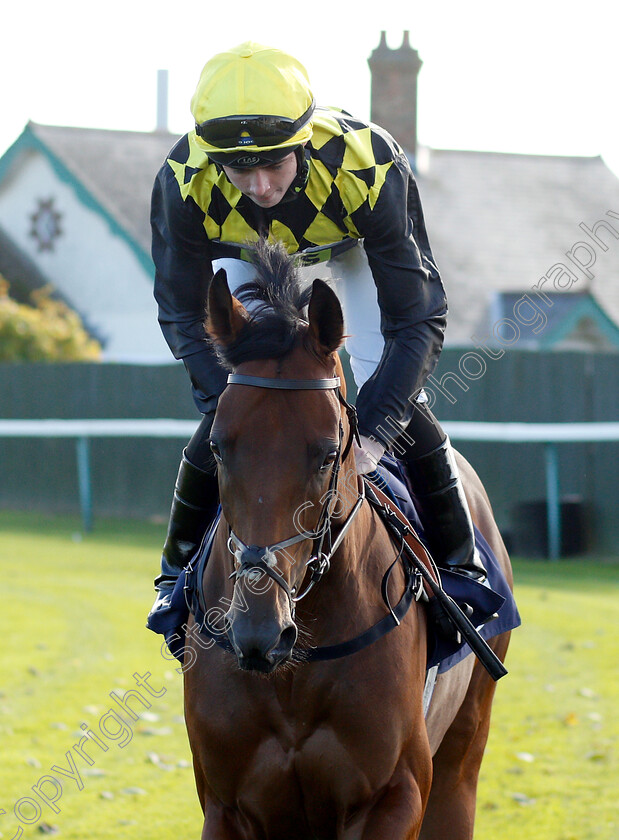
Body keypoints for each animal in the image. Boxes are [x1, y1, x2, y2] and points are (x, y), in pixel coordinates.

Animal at [183, 243, 512, 840]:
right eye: (217, 447)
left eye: (327, 452)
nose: (260, 632)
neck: (291, 674)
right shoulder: (224, 806)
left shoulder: (395, 796)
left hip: (462, 761)